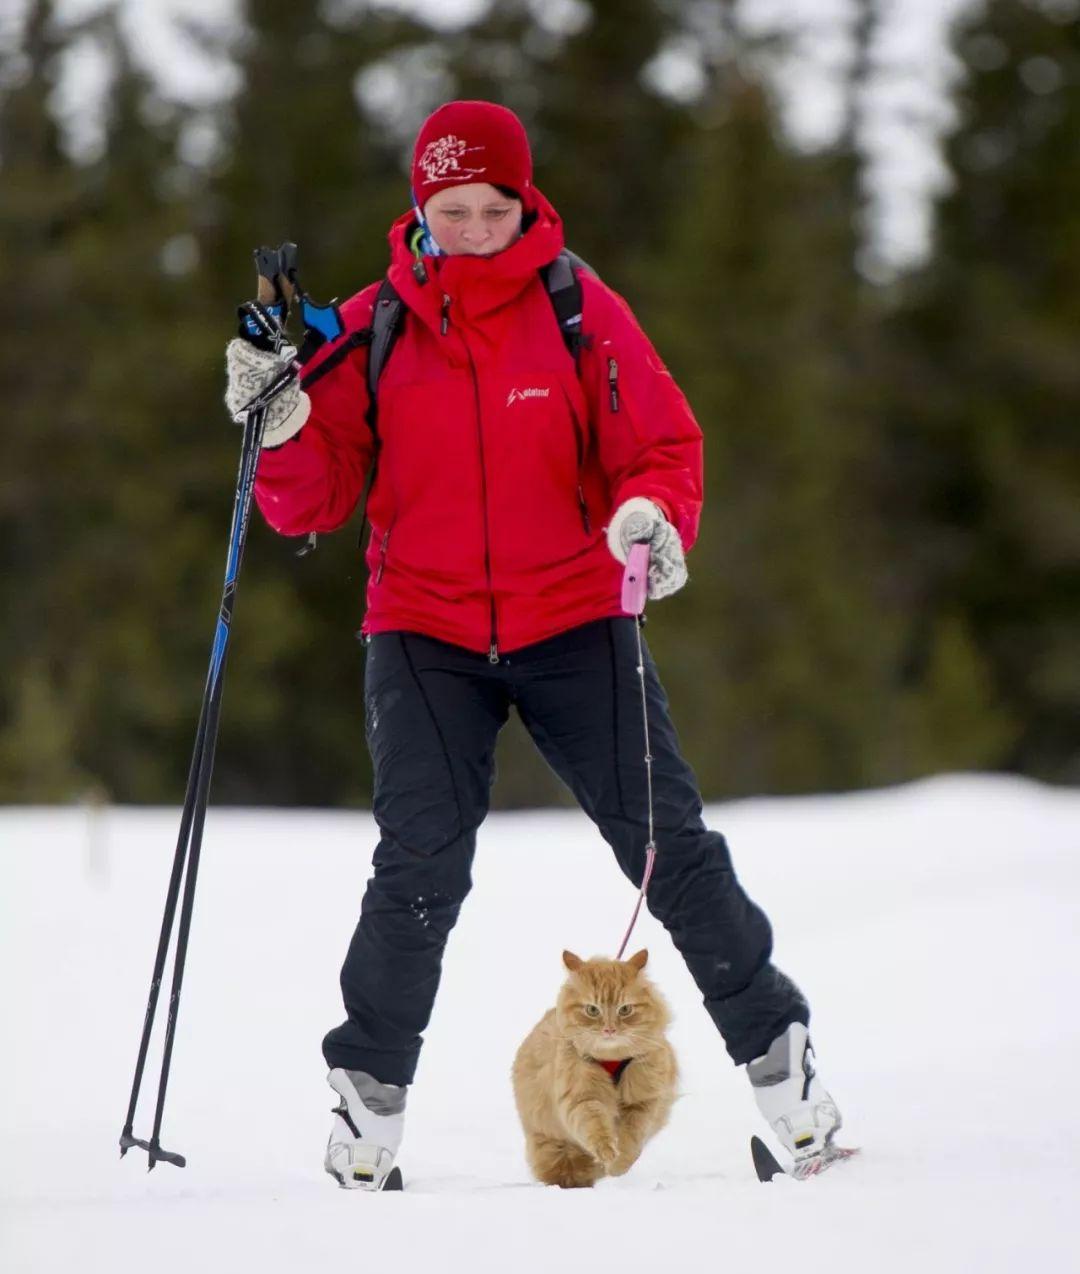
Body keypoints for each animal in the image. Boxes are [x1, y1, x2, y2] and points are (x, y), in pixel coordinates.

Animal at [511, 947, 672, 1182]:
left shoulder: (643, 1101)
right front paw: (607, 1152)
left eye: (625, 1009)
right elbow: (596, 1127)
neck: (612, 1057)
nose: (609, 1030)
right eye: (592, 1010)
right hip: (551, 1147)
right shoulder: (582, 1097)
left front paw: (619, 1164)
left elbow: (632, 1137)